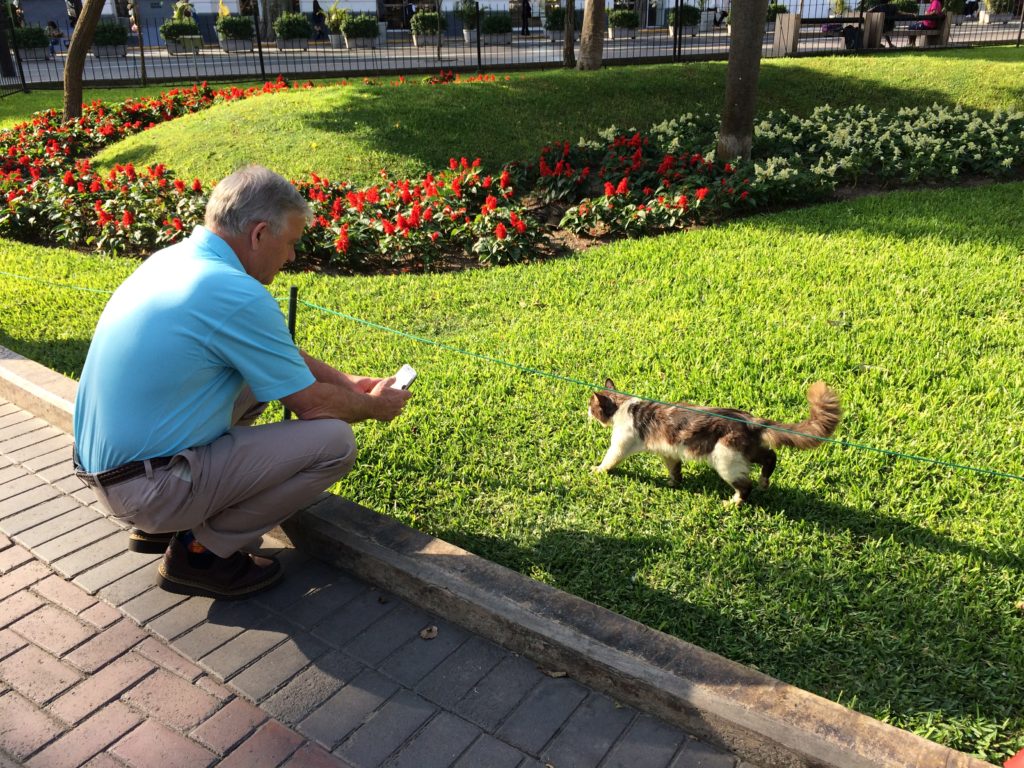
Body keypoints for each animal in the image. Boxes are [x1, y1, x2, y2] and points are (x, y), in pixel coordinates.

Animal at [593, 380, 839, 505]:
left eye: (591, 405)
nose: (587, 411)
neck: (624, 405)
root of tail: (749, 419)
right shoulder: (669, 452)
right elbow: (674, 469)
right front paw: (674, 483)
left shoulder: (620, 444)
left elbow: (609, 460)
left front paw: (597, 470)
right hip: (745, 452)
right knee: (771, 457)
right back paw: (764, 482)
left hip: (726, 460)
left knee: (746, 486)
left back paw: (733, 502)